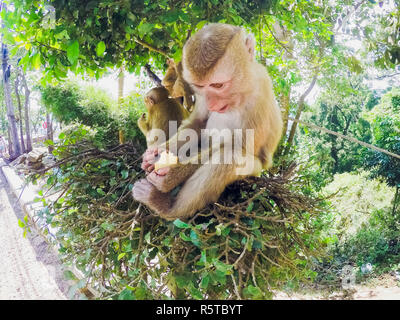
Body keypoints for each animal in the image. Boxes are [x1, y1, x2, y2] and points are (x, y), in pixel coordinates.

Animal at [133, 23, 282, 221]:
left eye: (218, 85)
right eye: (201, 86)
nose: (212, 102)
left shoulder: (260, 93)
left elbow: (238, 147)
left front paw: (171, 176)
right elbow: (198, 122)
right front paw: (156, 153)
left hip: (254, 172)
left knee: (229, 157)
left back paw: (166, 206)